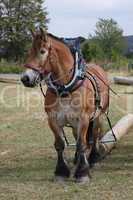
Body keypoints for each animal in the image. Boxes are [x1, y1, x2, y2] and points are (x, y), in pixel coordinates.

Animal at [21, 28, 109, 183]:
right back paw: (77, 159)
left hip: (98, 116)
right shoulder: (53, 119)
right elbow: (60, 144)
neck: (66, 88)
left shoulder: (84, 119)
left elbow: (82, 143)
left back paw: (93, 159)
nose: (25, 78)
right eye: (29, 51)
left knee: (94, 136)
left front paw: (83, 173)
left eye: (42, 51)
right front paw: (61, 172)